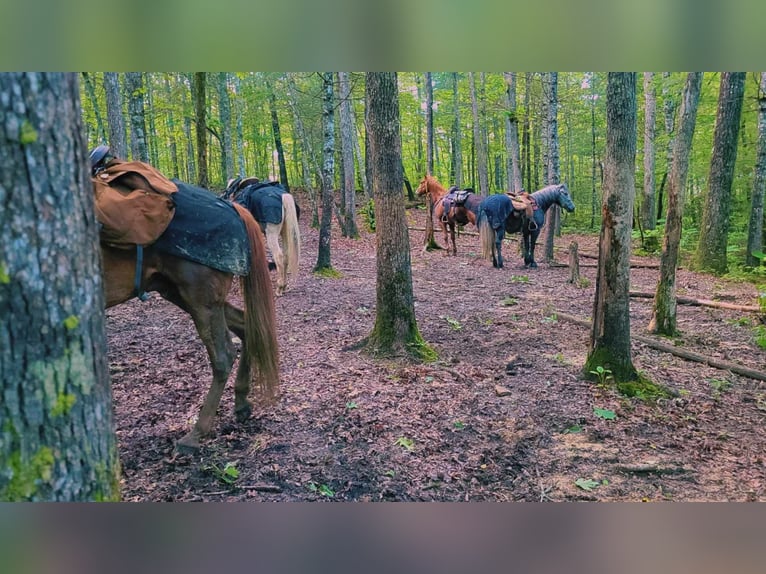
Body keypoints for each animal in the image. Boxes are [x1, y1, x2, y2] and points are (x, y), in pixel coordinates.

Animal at [100, 202, 280, 454]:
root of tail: (232, 207)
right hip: (180, 293)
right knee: (245, 327)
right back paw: (241, 402)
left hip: (200, 300)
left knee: (224, 356)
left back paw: (195, 435)